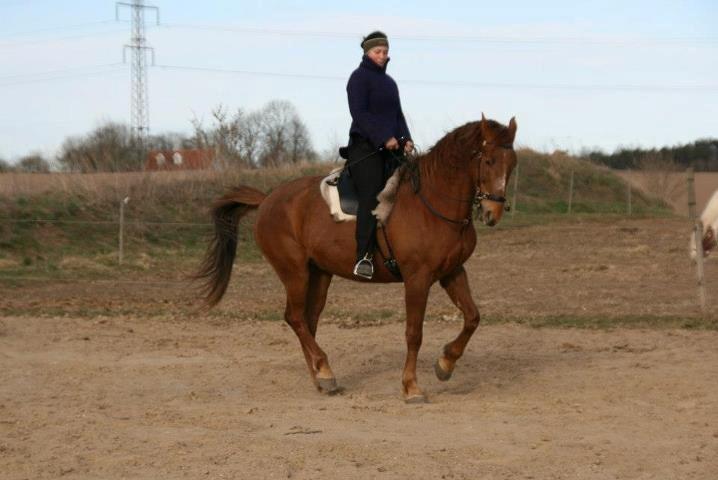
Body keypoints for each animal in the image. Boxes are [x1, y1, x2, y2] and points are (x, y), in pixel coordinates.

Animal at [198, 115, 516, 402]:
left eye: (511, 163)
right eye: (488, 161)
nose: (493, 213)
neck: (432, 202)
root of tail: (266, 200)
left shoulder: (452, 271)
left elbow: (472, 317)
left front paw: (445, 364)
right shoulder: (417, 278)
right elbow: (414, 333)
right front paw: (411, 387)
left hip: (319, 273)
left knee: (308, 320)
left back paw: (321, 378)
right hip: (295, 272)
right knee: (295, 318)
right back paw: (324, 370)